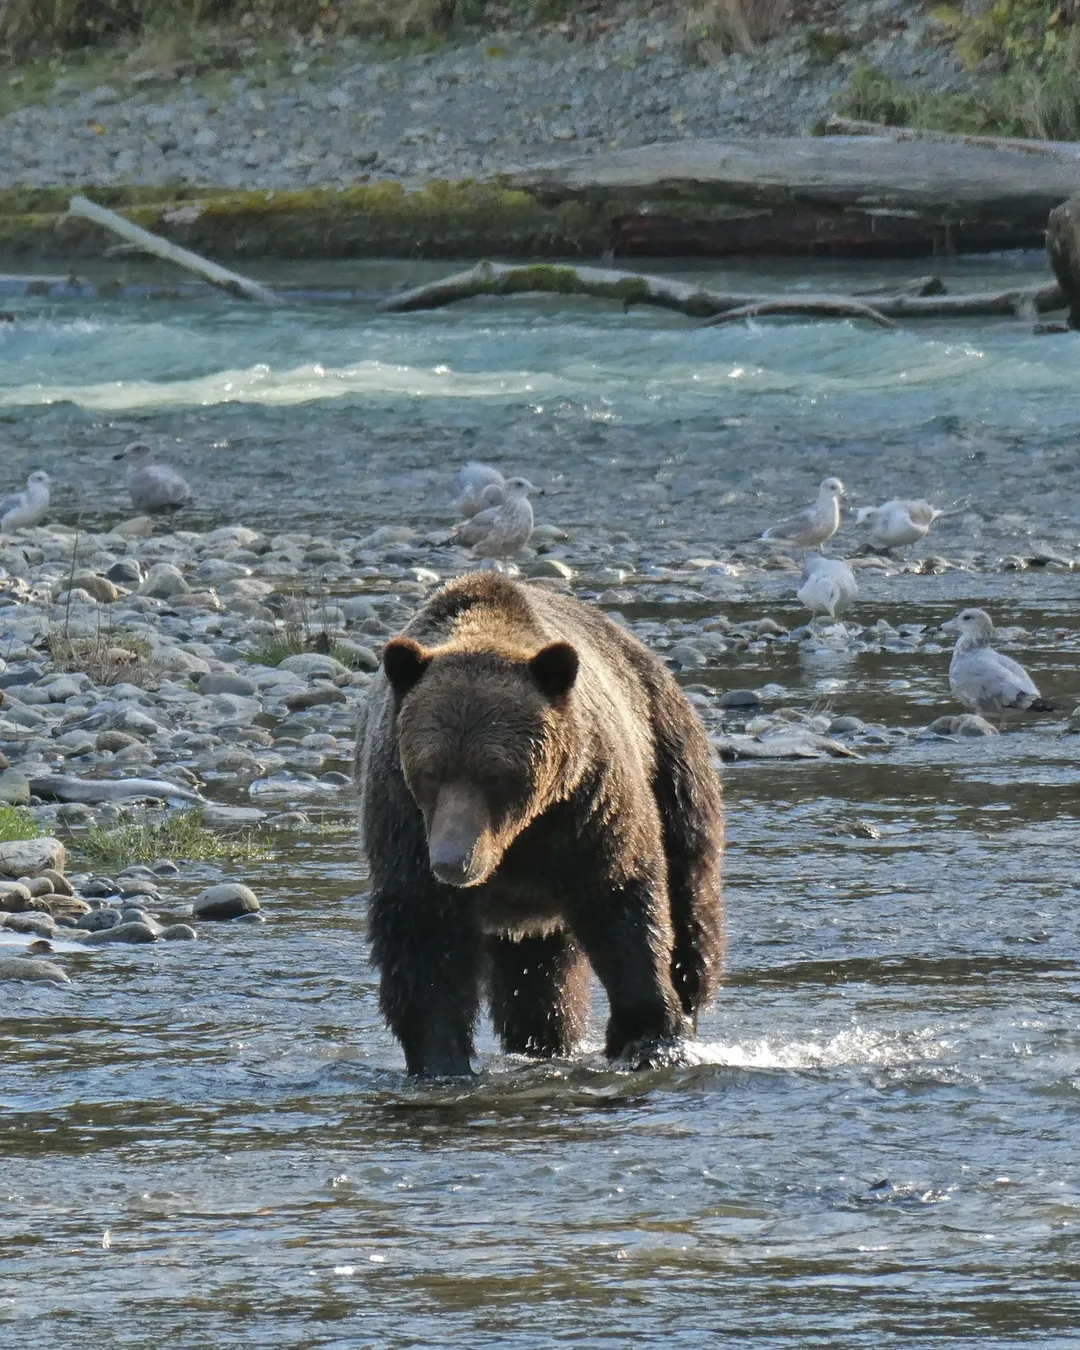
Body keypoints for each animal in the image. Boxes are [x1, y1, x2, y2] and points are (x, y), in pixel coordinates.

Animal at [356, 572, 724, 1077]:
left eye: (495, 774)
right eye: (431, 771)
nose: (453, 862)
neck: (517, 837)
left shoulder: (587, 807)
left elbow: (623, 903)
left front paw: (649, 1040)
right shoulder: (405, 821)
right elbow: (424, 940)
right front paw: (440, 1060)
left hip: (671, 759)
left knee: (690, 899)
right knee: (540, 974)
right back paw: (543, 1039)